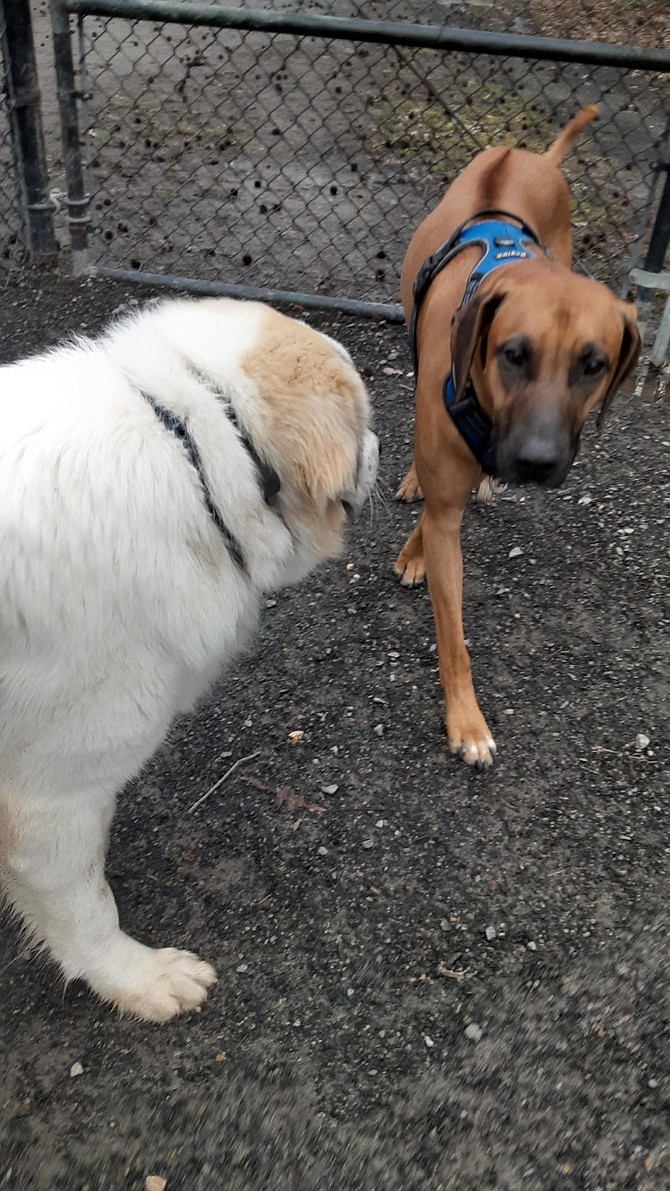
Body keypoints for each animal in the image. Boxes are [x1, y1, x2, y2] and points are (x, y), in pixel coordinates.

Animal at [0, 295, 378, 1014]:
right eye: (363, 417)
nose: (380, 445)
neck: (191, 449)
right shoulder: (47, 796)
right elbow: (85, 909)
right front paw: (138, 980)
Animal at [395, 104, 642, 771]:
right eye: (513, 354)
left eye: (594, 365)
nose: (535, 462)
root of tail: (529, 155)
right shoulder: (446, 503)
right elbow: (453, 634)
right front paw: (467, 722)